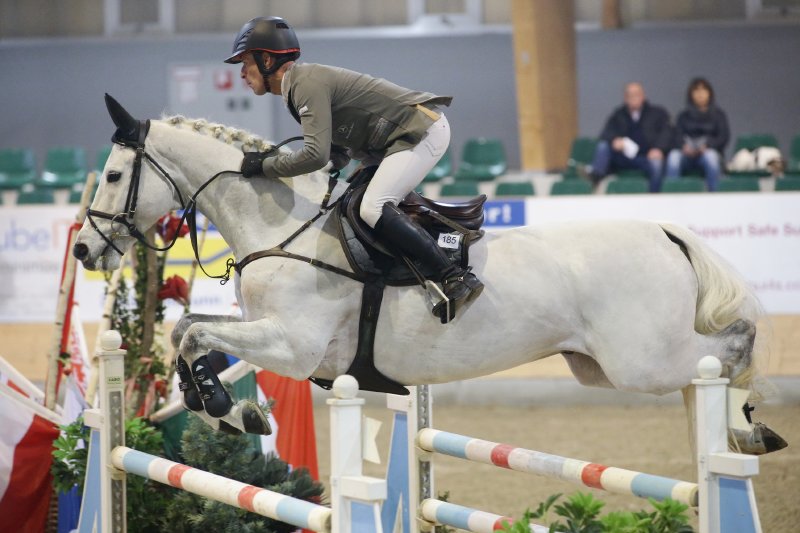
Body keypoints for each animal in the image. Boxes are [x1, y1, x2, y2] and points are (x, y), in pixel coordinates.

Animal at [72, 96, 784, 454]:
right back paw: (731, 432)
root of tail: (662, 230)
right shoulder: (268, 334)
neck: (284, 229)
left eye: (113, 175)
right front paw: (231, 412)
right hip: (600, 366)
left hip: (641, 361)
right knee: (706, 367)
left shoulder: (294, 346)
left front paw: (224, 409)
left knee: (730, 346)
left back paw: (747, 423)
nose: (82, 250)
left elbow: (192, 333)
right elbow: (191, 334)